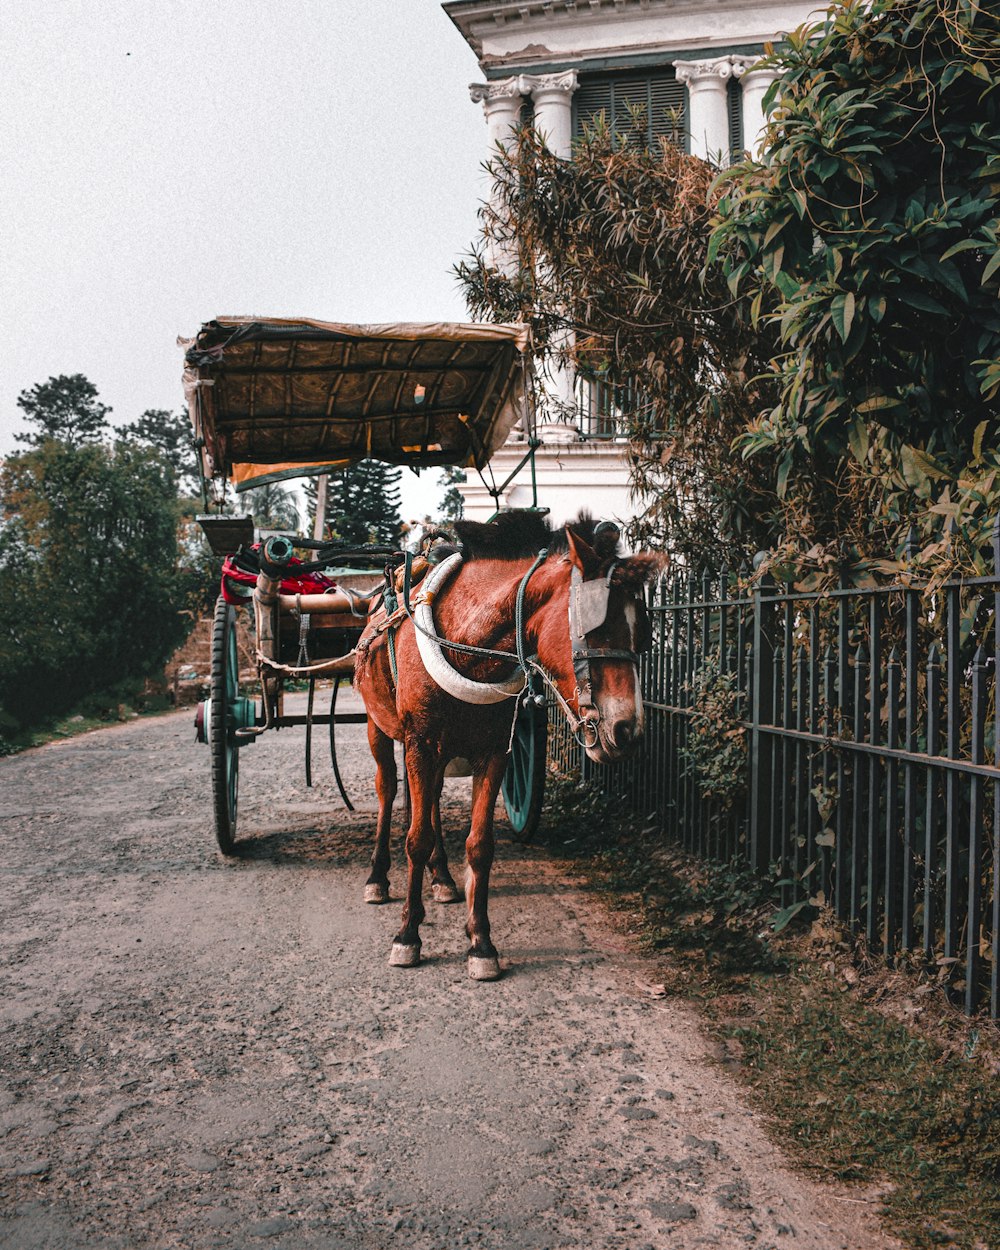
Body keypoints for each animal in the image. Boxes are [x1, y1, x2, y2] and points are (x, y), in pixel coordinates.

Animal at [352, 512, 665, 980]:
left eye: (641, 632)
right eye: (592, 630)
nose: (626, 728)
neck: (467, 643)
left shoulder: (495, 751)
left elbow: (479, 846)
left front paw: (480, 942)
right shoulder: (420, 744)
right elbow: (415, 838)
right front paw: (407, 935)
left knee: (430, 800)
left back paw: (442, 877)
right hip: (381, 727)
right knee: (389, 791)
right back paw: (378, 877)